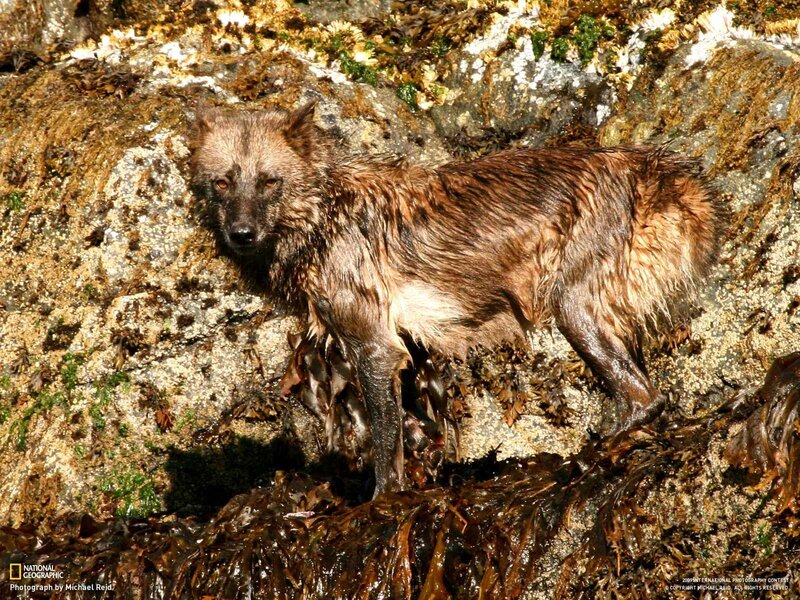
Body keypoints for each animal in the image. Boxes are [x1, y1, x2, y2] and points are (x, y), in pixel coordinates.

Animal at [190, 100, 720, 497]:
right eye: (222, 182)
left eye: (269, 181)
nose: (241, 234)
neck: (321, 216)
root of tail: (658, 171)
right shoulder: (405, 350)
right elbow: (413, 431)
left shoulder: (374, 346)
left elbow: (384, 442)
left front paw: (384, 501)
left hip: (572, 311)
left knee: (648, 398)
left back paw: (589, 458)